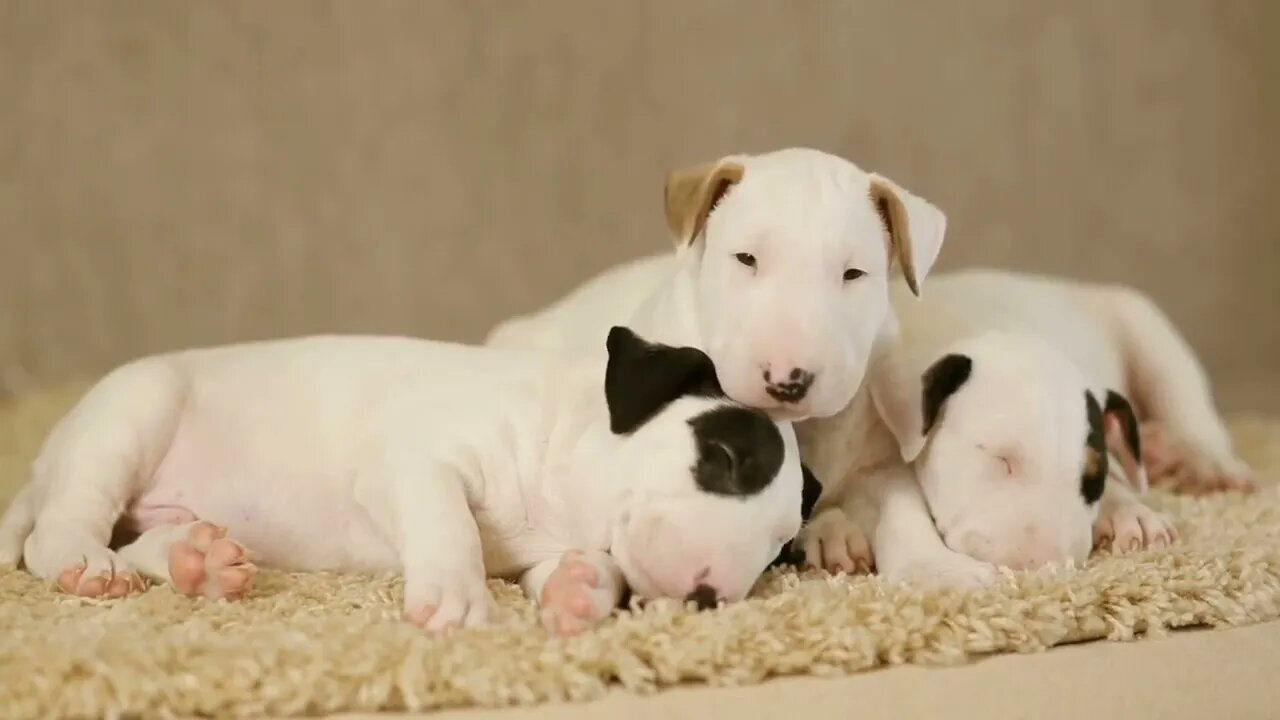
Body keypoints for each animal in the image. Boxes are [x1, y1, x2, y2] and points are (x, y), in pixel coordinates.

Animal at [0, 325, 808, 632]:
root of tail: (42, 462)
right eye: (724, 458)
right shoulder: (415, 465)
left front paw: (582, 591)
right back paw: (87, 564)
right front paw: (454, 599)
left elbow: (577, 569)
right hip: (132, 414)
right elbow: (448, 520)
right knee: (60, 531)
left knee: (143, 538)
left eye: (781, 548)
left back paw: (196, 560)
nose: (708, 598)